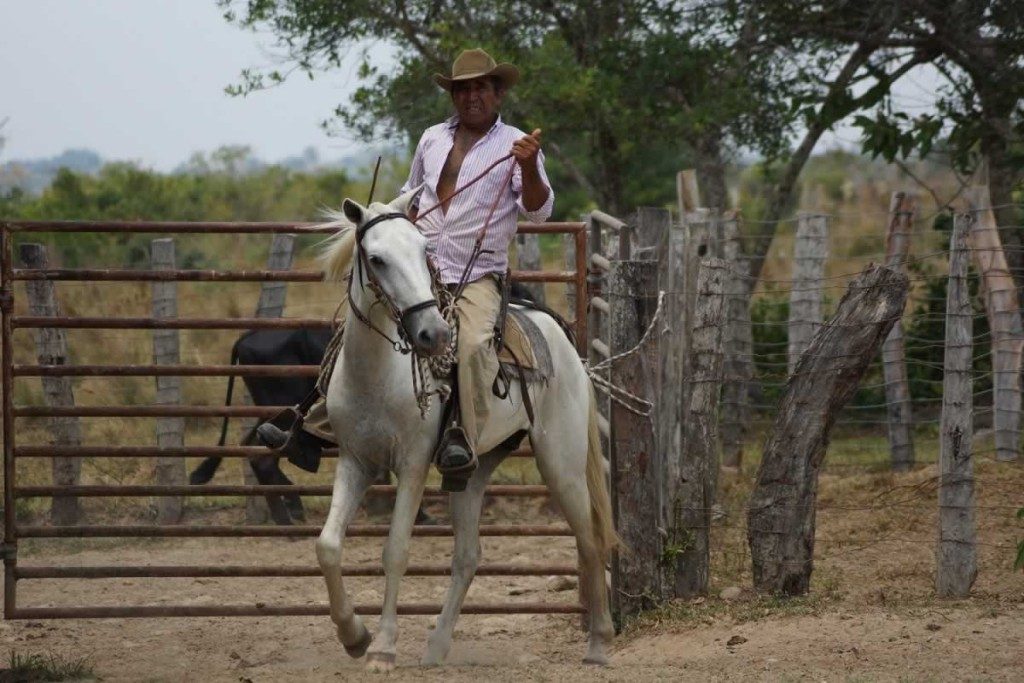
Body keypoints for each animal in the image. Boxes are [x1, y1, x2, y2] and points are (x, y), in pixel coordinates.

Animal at [311, 188, 614, 671]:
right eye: (376, 258)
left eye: (423, 250)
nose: (432, 334)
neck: (378, 374)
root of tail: (560, 335)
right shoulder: (355, 460)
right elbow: (328, 546)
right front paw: (353, 635)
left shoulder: (413, 465)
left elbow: (395, 551)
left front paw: (382, 647)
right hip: (473, 469)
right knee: (468, 556)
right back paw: (436, 647)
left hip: (562, 464)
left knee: (589, 539)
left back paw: (599, 645)